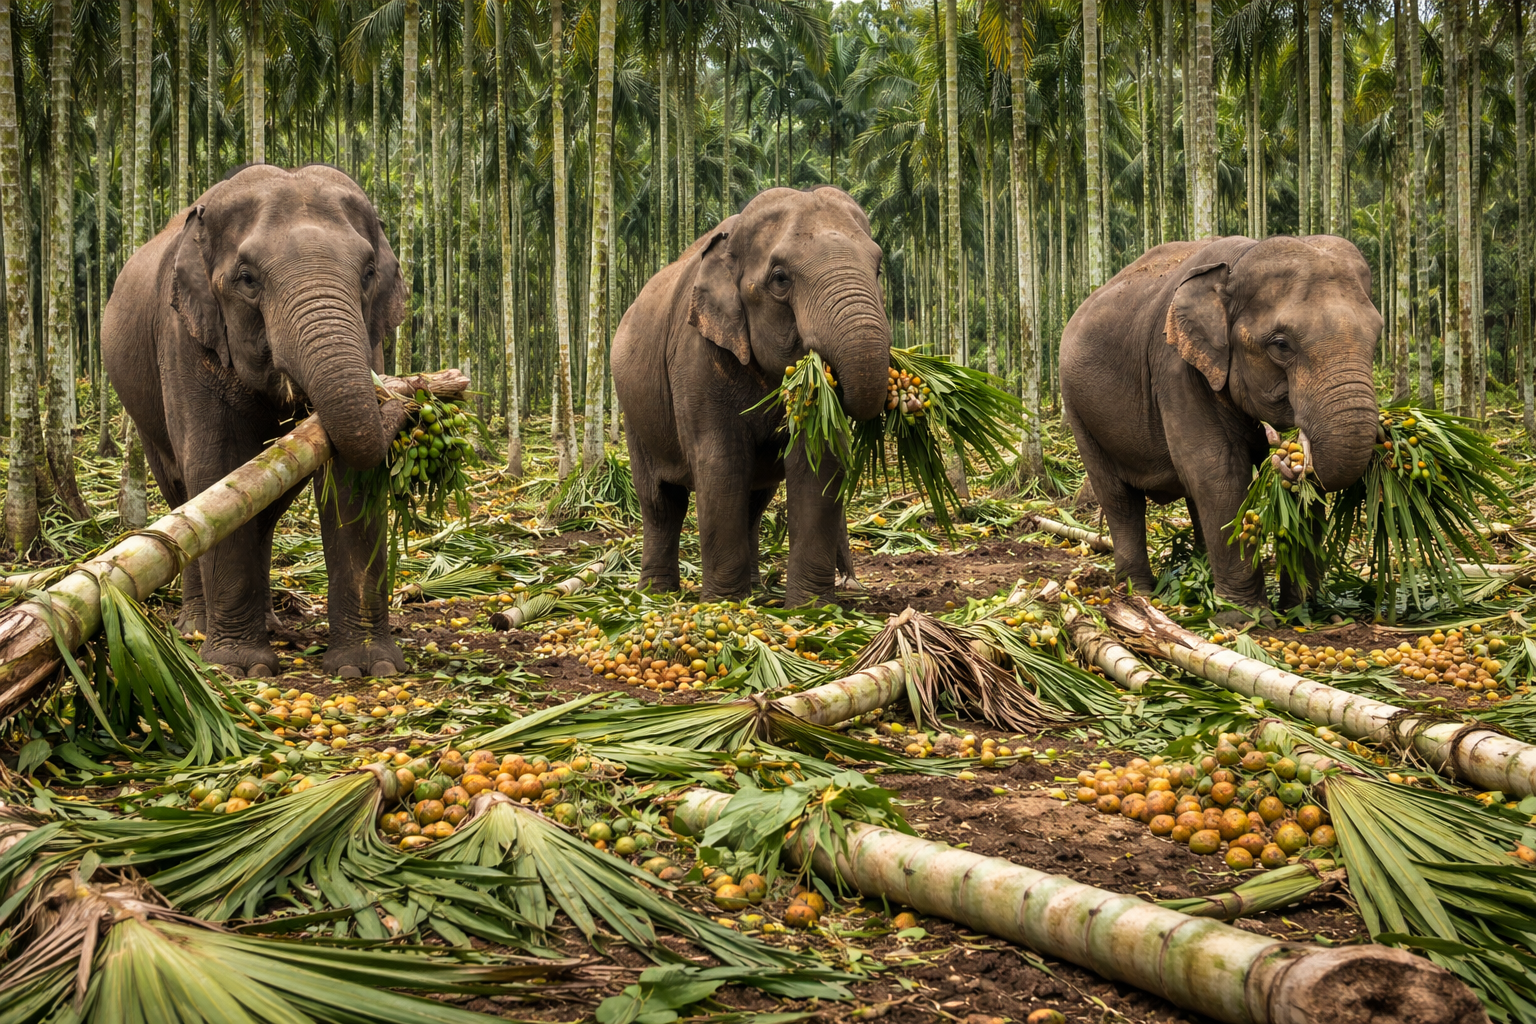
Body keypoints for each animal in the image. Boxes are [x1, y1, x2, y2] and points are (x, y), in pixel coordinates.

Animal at [103, 164, 409, 678]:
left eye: (369, 273)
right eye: (247, 279)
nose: (398, 397)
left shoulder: (370, 340)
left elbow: (350, 477)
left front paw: (368, 668)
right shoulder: (185, 338)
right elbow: (216, 468)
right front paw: (240, 668)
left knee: (266, 501)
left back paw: (268, 624)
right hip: (143, 413)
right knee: (183, 495)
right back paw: (195, 628)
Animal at [611, 186, 891, 607]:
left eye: (877, 269)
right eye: (780, 279)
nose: (850, 582)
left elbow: (818, 458)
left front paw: (811, 609)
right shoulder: (696, 355)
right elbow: (721, 462)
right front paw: (723, 605)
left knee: (754, 502)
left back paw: (756, 591)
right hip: (634, 412)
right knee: (661, 501)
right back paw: (657, 596)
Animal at [1059, 235, 1383, 609]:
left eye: (1377, 335)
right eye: (1281, 345)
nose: (1288, 459)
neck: (1239, 261)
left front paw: (1305, 609)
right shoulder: (1176, 368)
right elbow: (1216, 471)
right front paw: (1244, 614)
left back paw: (1199, 577)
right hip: (1077, 407)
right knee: (1118, 496)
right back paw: (1139, 592)